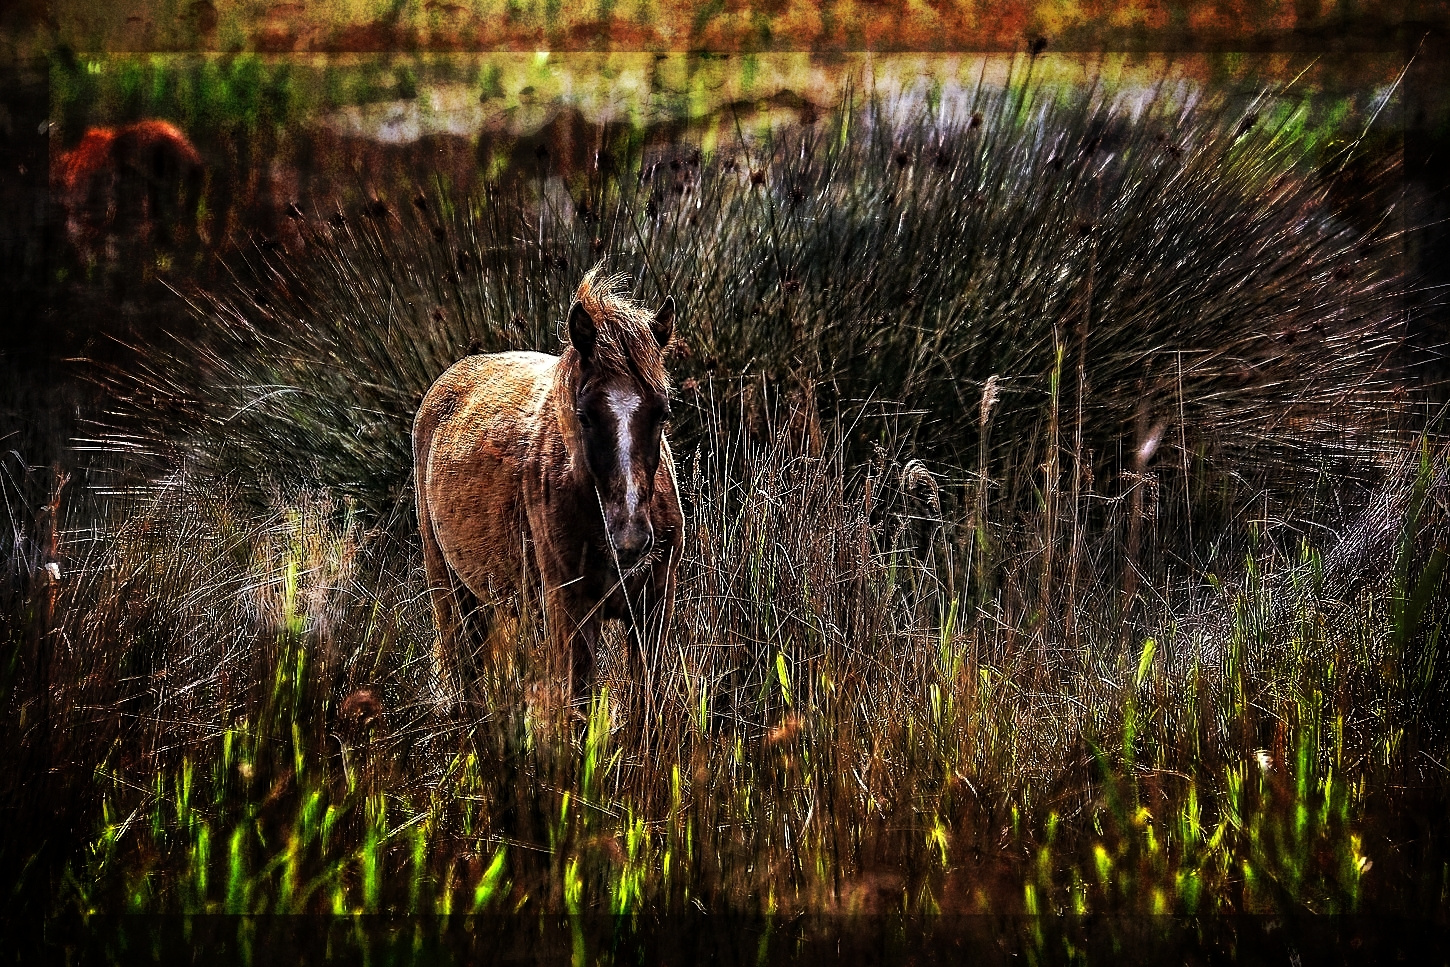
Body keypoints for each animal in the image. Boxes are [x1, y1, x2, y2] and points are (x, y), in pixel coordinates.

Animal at [408, 268, 678, 716]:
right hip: (451, 590)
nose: (630, 539)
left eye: (662, 412)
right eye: (584, 416)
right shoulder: (571, 616)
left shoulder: (651, 614)